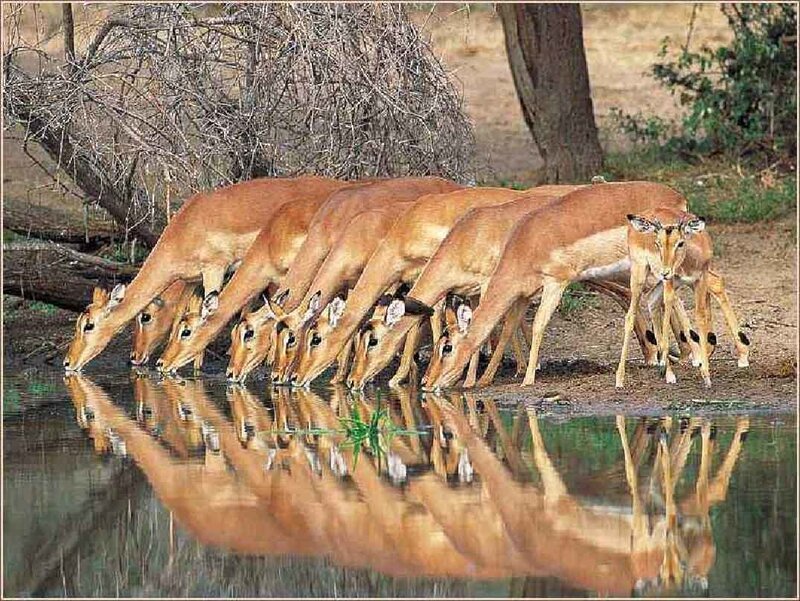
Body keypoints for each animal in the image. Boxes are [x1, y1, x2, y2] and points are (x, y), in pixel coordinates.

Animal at [64, 176, 351, 372]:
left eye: (88, 325)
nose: (68, 362)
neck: (186, 226)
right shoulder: (190, 281)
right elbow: (181, 316)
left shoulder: (214, 269)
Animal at [423, 182, 695, 390]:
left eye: (447, 347)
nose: (427, 382)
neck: (526, 242)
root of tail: (678, 199)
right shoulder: (523, 295)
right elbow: (510, 327)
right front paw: (484, 380)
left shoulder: (555, 283)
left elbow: (538, 325)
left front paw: (527, 379)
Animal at [616, 209, 751, 388]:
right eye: (657, 243)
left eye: (680, 243)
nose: (665, 271)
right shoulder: (671, 281)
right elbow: (667, 313)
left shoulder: (699, 280)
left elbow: (700, 316)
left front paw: (705, 374)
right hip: (641, 274)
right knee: (631, 316)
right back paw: (621, 379)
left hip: (664, 281)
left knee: (652, 300)